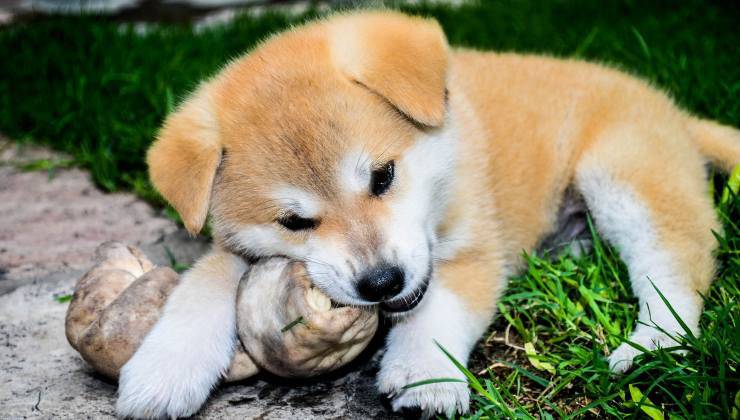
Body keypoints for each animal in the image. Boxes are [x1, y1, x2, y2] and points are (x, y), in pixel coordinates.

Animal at [115, 11, 740, 418]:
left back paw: (651, 345)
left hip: (622, 175)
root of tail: (674, 112)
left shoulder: (474, 249)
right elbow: (203, 285)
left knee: (676, 270)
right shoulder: (235, 249)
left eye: (382, 176)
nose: (380, 282)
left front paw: (422, 377)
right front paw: (164, 367)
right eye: (293, 223)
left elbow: (438, 309)